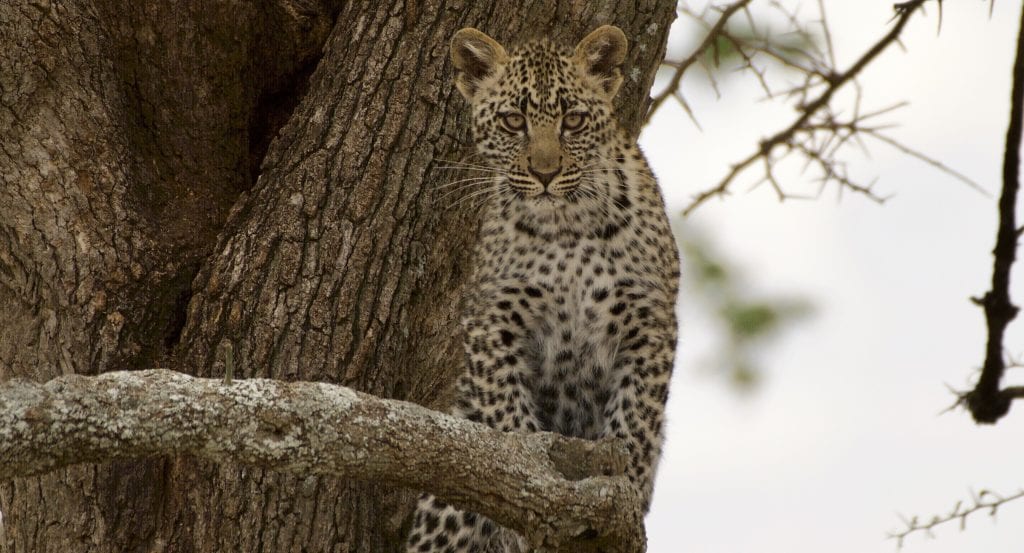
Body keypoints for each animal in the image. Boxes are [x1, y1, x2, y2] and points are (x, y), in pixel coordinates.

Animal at [405, 23, 679, 548]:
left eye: (573, 120)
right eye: (514, 121)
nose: (545, 173)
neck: (567, 225)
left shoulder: (650, 323)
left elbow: (635, 421)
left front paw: (625, 488)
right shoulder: (492, 319)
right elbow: (511, 418)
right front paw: (534, 484)